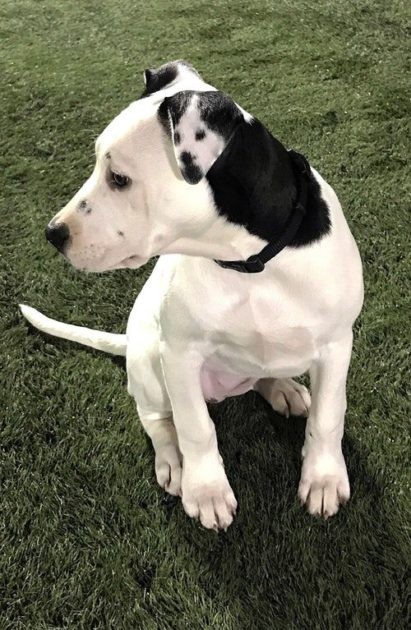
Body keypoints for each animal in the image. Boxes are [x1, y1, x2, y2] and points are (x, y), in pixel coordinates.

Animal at [21, 60, 364, 532]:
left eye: (119, 179)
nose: (53, 234)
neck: (248, 261)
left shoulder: (336, 344)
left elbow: (329, 415)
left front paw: (324, 478)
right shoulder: (180, 354)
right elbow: (195, 427)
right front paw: (206, 492)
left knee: (263, 376)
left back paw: (282, 388)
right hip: (150, 361)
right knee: (157, 420)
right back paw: (172, 462)